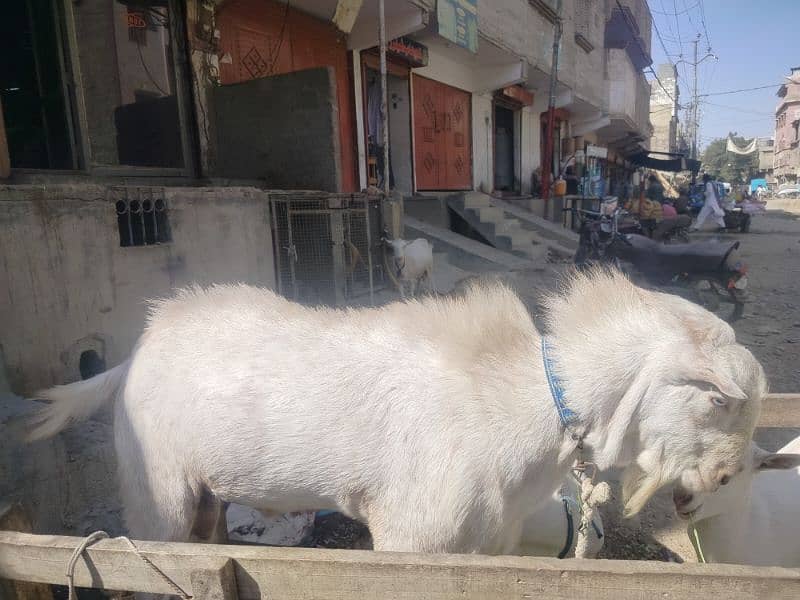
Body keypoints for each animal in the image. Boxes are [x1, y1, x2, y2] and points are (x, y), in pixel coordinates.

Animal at [29, 270, 764, 552]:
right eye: (718, 400)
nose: (731, 477)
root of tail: (139, 346)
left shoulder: (488, 542)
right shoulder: (413, 536)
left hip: (205, 494)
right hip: (157, 488)